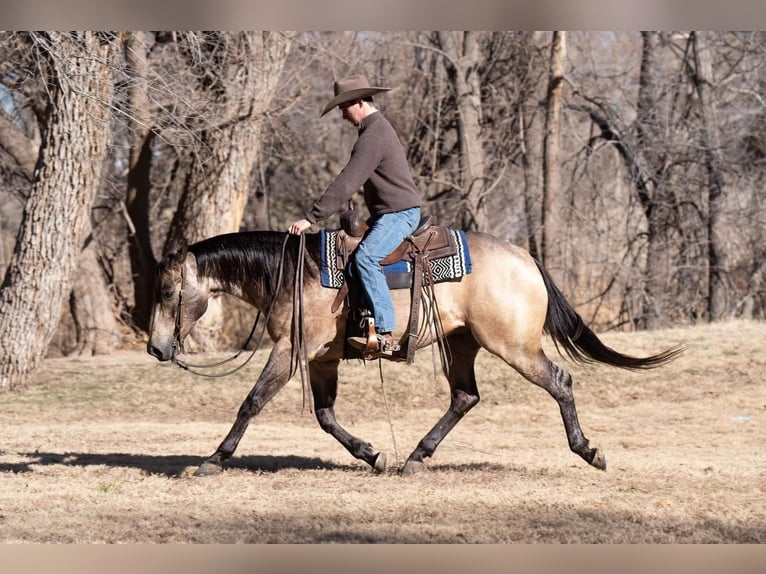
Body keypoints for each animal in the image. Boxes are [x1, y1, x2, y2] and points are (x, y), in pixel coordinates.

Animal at [147, 228, 680, 476]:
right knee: (465, 397)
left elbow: (252, 402)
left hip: (513, 346)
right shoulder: (321, 359)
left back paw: (589, 451)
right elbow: (325, 415)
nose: (155, 347)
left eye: (169, 292)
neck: (292, 273)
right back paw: (416, 457)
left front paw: (213, 459)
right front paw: (373, 454)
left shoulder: (290, 351)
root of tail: (527, 259)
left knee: (559, 383)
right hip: (462, 344)